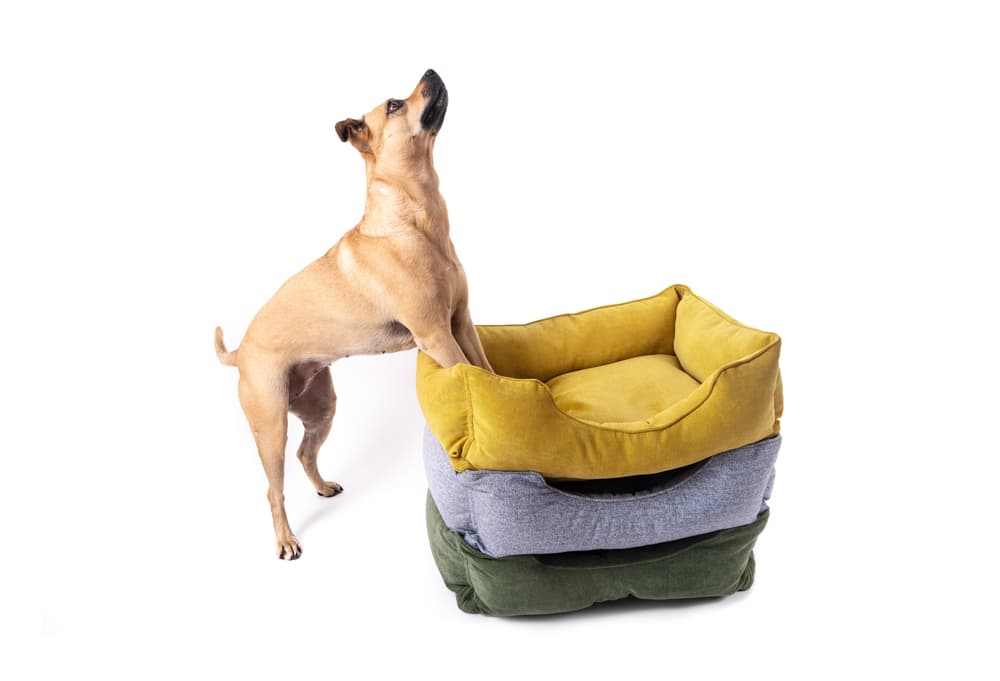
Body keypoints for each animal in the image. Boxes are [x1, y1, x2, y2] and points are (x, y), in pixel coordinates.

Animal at [214, 67, 492, 556]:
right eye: (394, 106)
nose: (431, 71)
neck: (413, 219)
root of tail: (241, 352)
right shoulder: (437, 335)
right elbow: (467, 374)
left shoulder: (461, 322)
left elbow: (487, 370)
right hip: (270, 427)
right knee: (273, 488)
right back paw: (286, 540)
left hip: (321, 406)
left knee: (306, 453)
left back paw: (323, 486)